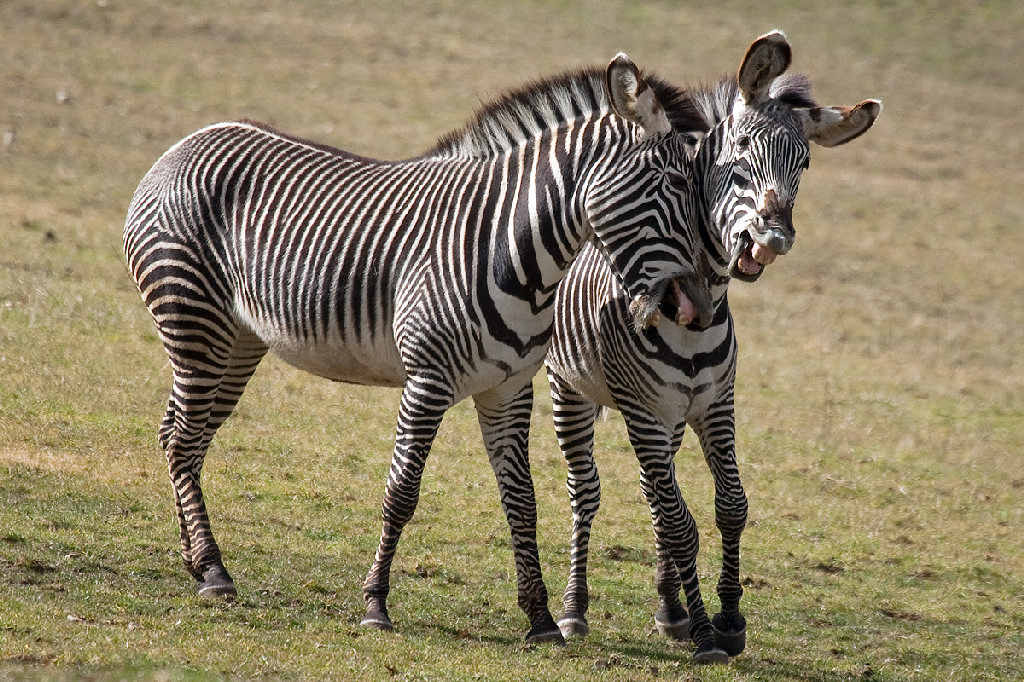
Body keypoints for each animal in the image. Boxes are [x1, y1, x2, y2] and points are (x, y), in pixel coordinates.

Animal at [123, 54, 719, 644]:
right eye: (671, 182)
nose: (694, 309)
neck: (511, 248)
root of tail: (183, 145)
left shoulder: (508, 389)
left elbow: (522, 500)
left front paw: (541, 618)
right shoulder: (427, 382)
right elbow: (403, 492)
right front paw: (376, 602)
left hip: (237, 342)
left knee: (181, 436)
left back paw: (195, 561)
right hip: (195, 323)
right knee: (182, 440)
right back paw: (213, 570)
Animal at [544, 32, 881, 663]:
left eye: (803, 163)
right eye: (741, 149)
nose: (772, 240)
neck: (694, 319)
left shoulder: (715, 405)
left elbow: (729, 506)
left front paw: (725, 617)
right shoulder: (643, 410)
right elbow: (682, 522)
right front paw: (707, 632)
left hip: (670, 417)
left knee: (656, 495)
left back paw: (670, 607)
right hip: (572, 390)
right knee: (587, 492)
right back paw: (575, 609)